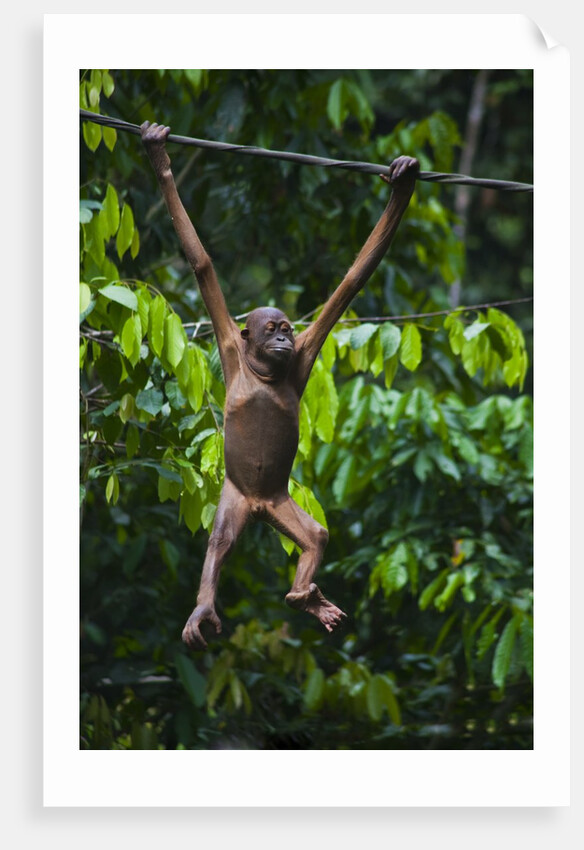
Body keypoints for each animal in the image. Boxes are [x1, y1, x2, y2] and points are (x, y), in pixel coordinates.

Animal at [140, 121, 419, 649]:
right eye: (272, 329)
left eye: (289, 330)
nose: (285, 340)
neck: (262, 370)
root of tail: (258, 508)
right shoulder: (230, 344)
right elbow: (201, 263)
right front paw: (158, 156)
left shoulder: (306, 353)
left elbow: (352, 281)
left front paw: (402, 183)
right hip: (234, 496)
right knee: (220, 540)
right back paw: (206, 610)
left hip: (280, 502)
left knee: (316, 538)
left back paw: (305, 598)